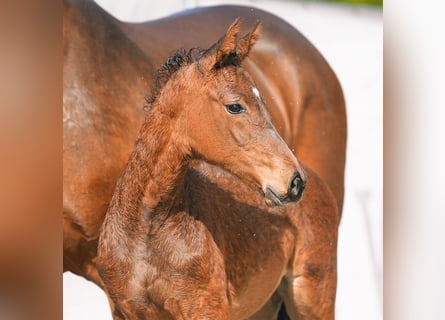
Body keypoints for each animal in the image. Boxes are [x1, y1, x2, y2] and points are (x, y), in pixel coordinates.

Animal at [63, 1, 346, 318]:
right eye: (235, 106)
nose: (295, 181)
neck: (146, 230)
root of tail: (320, 182)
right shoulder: (124, 309)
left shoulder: (206, 308)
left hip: (312, 298)